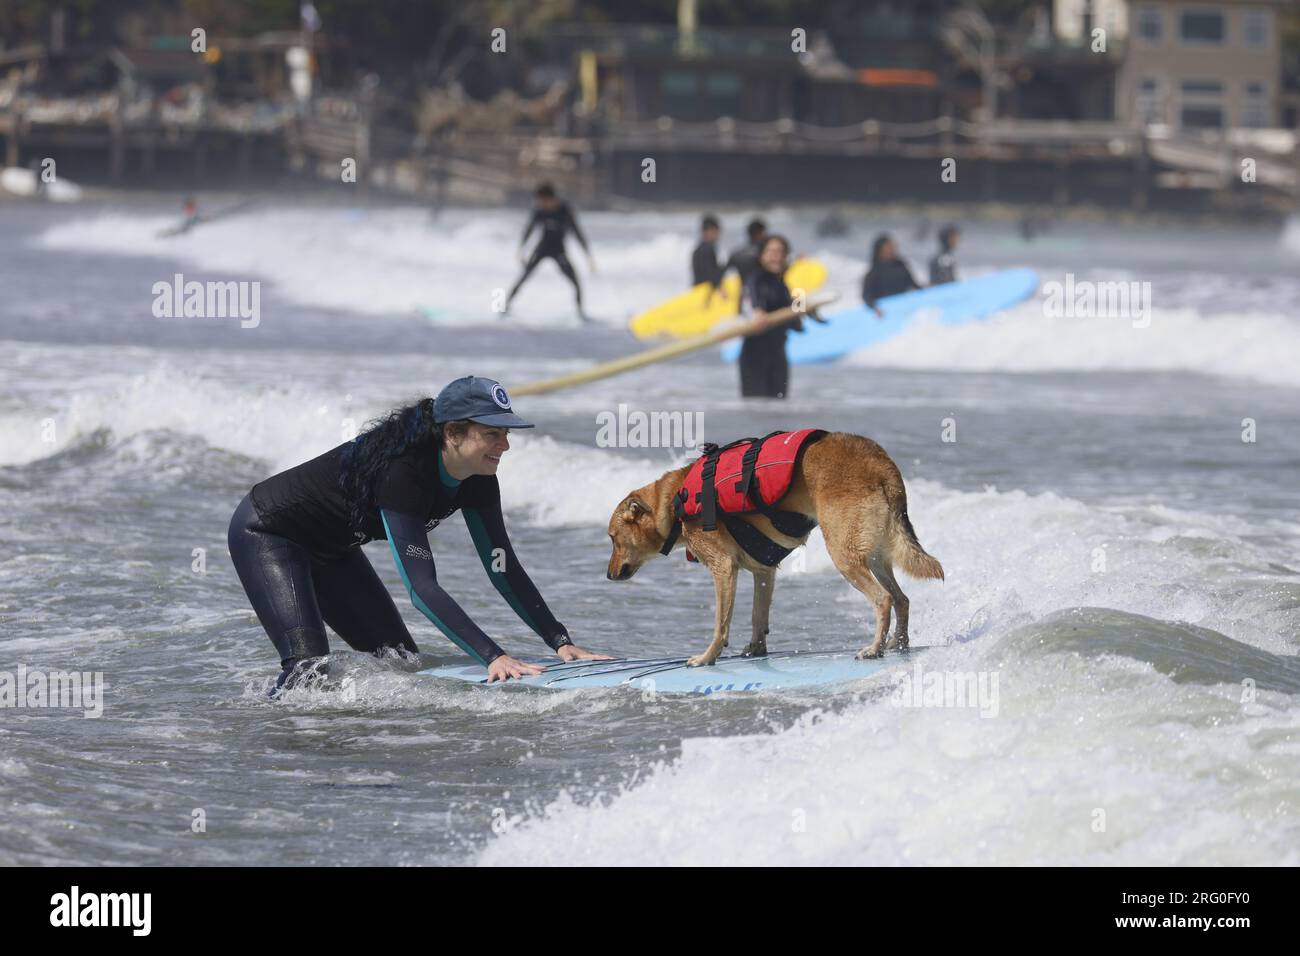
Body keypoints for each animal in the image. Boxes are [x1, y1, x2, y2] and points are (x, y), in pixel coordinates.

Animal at [603, 431, 941, 665]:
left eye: (612, 538)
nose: (608, 575)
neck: (674, 500)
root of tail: (880, 463)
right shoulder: (763, 570)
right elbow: (758, 616)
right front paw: (756, 649)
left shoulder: (723, 569)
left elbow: (720, 624)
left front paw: (707, 657)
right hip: (876, 555)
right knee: (902, 599)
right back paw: (899, 644)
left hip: (845, 555)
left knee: (883, 599)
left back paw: (874, 648)